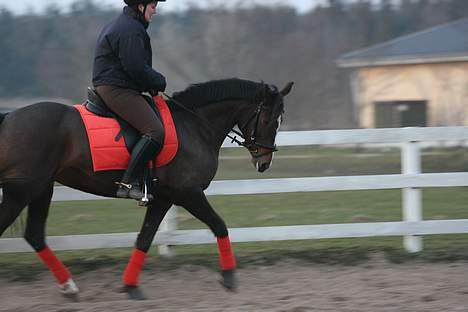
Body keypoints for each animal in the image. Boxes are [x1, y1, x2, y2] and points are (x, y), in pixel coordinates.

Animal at [0, 78, 292, 300]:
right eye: (270, 120)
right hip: (21, 192)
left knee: (35, 235)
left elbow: (144, 238)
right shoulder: (189, 193)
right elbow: (219, 225)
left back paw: (70, 287)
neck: (194, 125)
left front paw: (131, 287)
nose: (265, 162)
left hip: (40, 189)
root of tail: (9, 117)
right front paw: (230, 277)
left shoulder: (163, 198)